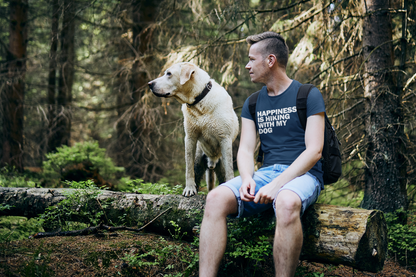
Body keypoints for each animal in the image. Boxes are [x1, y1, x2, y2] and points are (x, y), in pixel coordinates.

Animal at [149, 63, 240, 196]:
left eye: (169, 73)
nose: (149, 84)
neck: (199, 103)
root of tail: (212, 162)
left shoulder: (225, 139)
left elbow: (230, 172)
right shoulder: (190, 138)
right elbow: (189, 168)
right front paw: (189, 189)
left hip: (220, 162)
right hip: (199, 158)